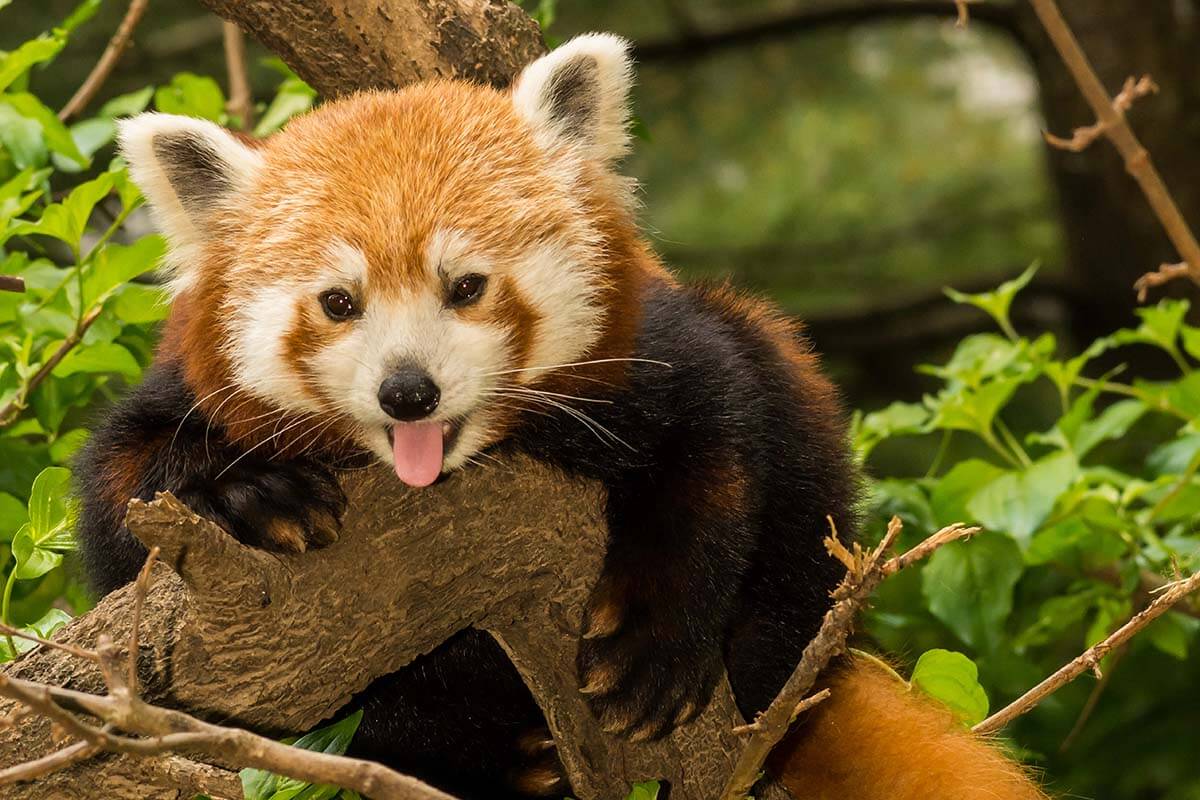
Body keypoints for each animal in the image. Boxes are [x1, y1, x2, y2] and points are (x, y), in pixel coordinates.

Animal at [75, 34, 1046, 800]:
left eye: (466, 286)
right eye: (339, 302)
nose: (408, 392)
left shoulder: (669, 351)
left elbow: (718, 452)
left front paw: (656, 643)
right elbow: (119, 500)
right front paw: (249, 491)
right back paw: (505, 764)